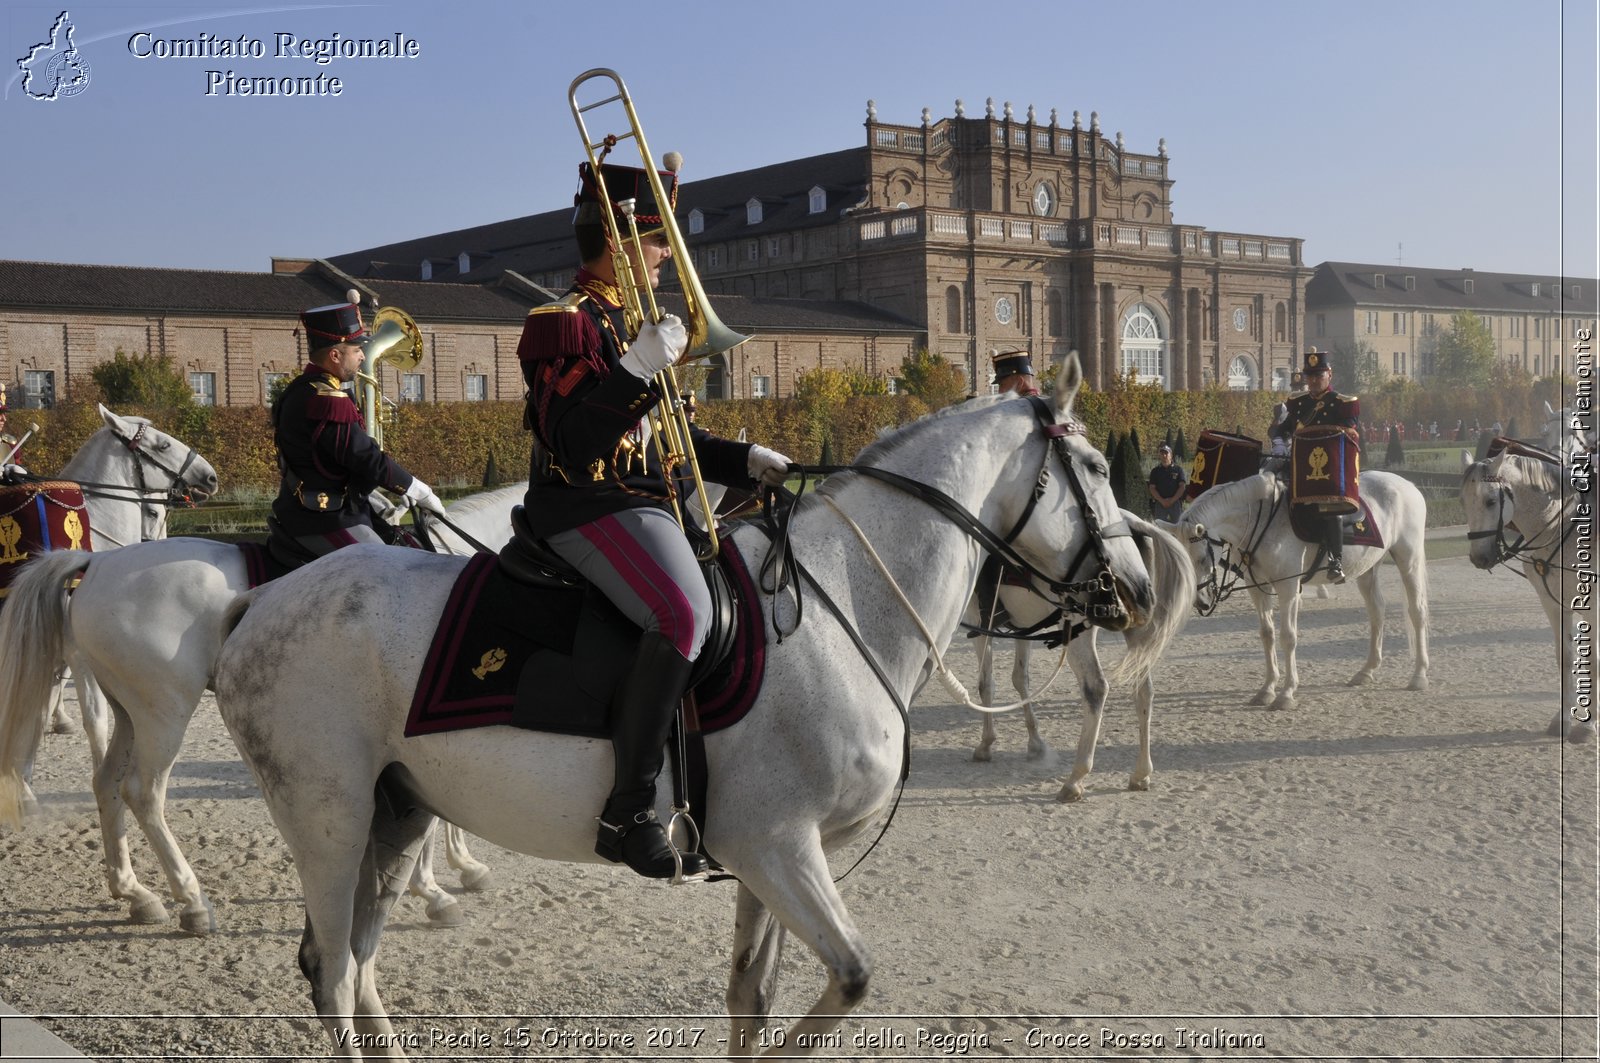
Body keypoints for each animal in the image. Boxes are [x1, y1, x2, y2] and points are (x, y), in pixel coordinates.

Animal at [0, 486, 505, 928]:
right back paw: (191, 900)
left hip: (130, 710)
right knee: (143, 793)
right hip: (164, 712)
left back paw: (135, 893)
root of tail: (100, 561)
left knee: (106, 783)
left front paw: (461, 867)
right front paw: (433, 887)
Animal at [190, 363, 1152, 1056]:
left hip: (398, 814)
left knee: (357, 964)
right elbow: (850, 979)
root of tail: (259, 599)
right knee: (329, 972)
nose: (1138, 589)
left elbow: (752, 998)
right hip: (330, 820)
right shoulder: (780, 847)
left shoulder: (770, 858)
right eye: (1098, 468)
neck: (843, 596)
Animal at [966, 512, 1196, 800]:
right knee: (1144, 691)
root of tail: (1133, 523)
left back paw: (1075, 778)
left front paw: (986, 744)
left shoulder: (979, 622)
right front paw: (1036, 745)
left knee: (1095, 687)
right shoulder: (1022, 628)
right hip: (1136, 631)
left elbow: (986, 684)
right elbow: (1020, 680)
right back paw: (1141, 773)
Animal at [1184, 470, 1433, 710]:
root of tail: (1407, 485)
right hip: (1367, 570)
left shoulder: (1288, 587)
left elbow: (1288, 637)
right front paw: (1267, 690)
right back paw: (1367, 671)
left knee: (1417, 611)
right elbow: (1267, 634)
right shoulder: (1259, 588)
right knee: (1377, 612)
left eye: (1202, 559)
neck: (1263, 521)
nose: (1201, 601)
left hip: (1409, 560)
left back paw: (1419, 675)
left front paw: (1286, 694)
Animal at [1465, 445, 1587, 739]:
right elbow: (1565, 656)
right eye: (1464, 501)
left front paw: (1591, 725)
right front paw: (1562, 719)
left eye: (1490, 502)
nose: (1479, 558)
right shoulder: (1554, 603)